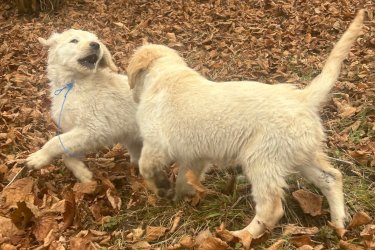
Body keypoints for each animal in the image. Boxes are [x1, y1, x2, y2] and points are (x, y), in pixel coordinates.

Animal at [26, 29, 143, 183]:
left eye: (97, 41)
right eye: (74, 41)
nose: (96, 45)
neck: (74, 84)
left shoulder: (94, 128)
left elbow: (55, 141)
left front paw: (39, 157)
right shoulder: (78, 131)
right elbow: (66, 153)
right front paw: (82, 173)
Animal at [127, 11, 364, 242]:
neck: (166, 75)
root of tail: (302, 98)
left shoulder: (155, 144)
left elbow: (146, 167)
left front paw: (161, 189)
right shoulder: (195, 156)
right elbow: (186, 178)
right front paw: (179, 197)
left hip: (262, 159)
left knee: (271, 208)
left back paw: (241, 235)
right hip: (299, 155)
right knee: (332, 177)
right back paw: (338, 223)